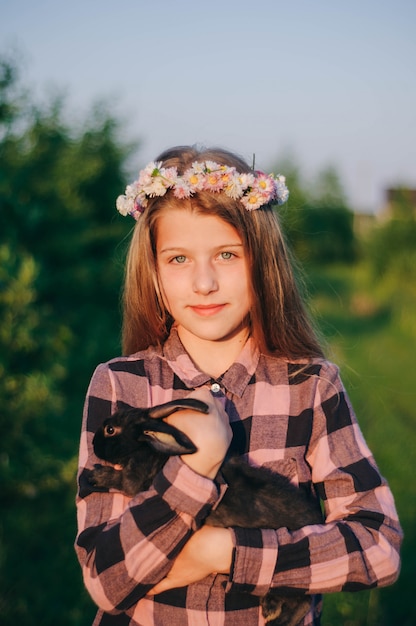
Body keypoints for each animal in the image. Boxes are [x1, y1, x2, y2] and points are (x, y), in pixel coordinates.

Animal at [90, 400, 322, 624]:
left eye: (110, 429)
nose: (93, 444)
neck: (146, 447)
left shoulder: (132, 480)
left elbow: (120, 480)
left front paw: (96, 476)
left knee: (301, 603)